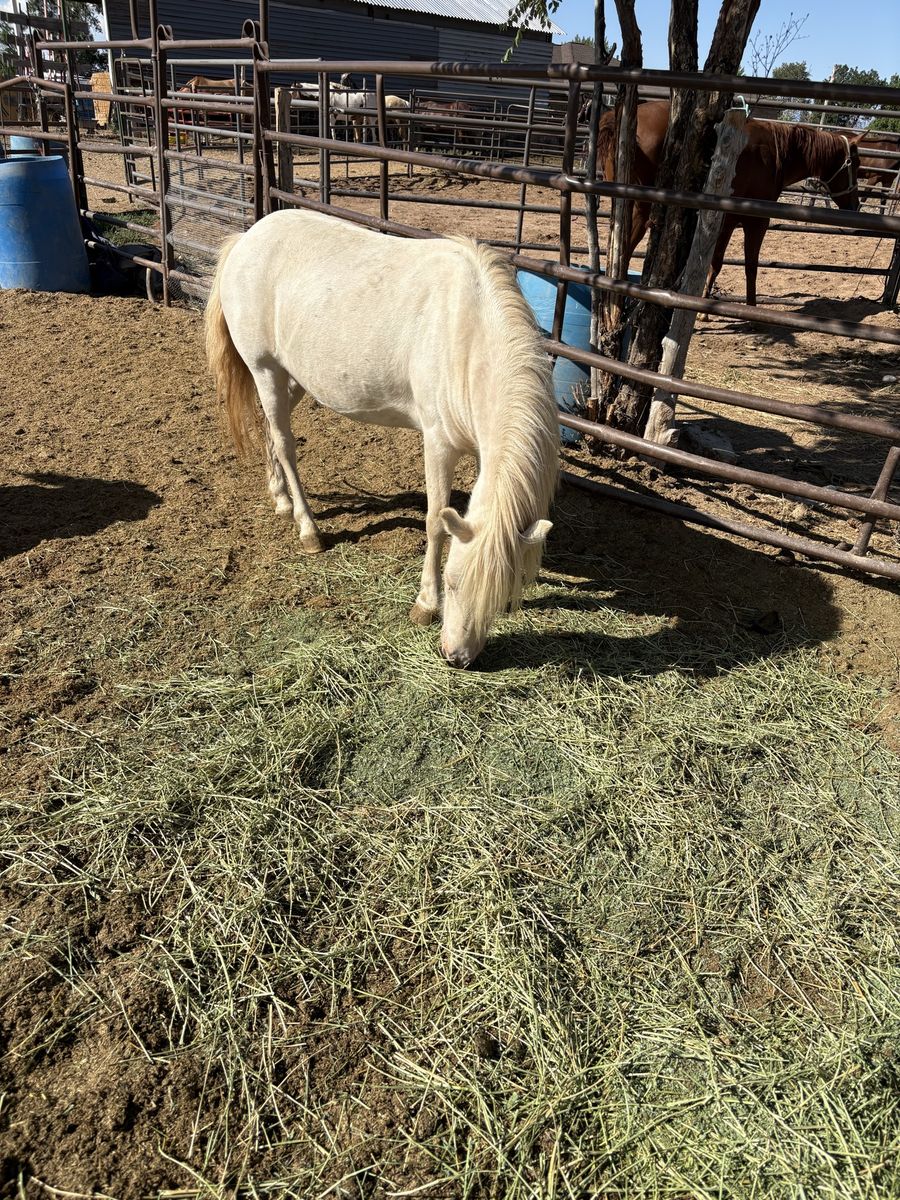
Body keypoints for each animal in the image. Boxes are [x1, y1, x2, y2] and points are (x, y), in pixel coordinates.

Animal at [205, 209, 557, 668]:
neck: (466, 333)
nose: (456, 658)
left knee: (270, 432)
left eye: (501, 602)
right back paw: (308, 529)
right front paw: (425, 605)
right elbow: (435, 521)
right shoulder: (438, 443)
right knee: (283, 443)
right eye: (453, 582)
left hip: (291, 377)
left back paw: (280, 499)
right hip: (263, 369)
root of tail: (245, 239)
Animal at [598, 100, 861, 305]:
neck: (776, 155)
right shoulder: (752, 221)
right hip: (640, 207)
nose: (856, 205)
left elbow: (724, 263)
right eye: (856, 164)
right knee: (626, 247)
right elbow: (745, 265)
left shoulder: (730, 221)